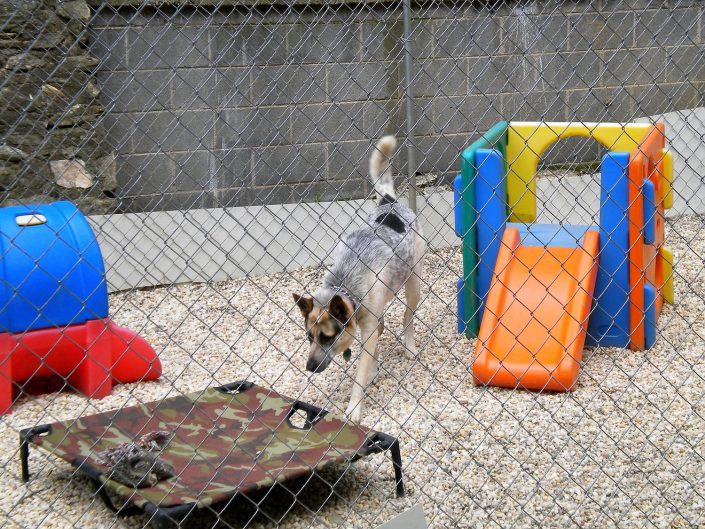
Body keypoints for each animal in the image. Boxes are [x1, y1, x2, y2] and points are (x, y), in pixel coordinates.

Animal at [290, 135, 424, 420]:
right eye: (309, 337)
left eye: (327, 337)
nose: (309, 367)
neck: (345, 286)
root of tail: (389, 202)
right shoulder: (368, 324)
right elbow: (371, 354)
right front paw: (373, 371)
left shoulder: (368, 328)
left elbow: (360, 374)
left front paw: (354, 408)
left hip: (414, 284)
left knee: (407, 317)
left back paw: (409, 347)